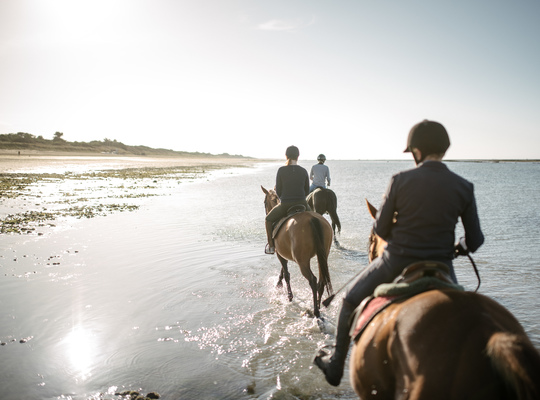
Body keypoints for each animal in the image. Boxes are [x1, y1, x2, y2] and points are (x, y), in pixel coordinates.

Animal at [262, 185, 334, 318]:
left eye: (265, 202)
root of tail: (312, 219)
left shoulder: (280, 254)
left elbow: (286, 273)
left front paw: (289, 295)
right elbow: (283, 270)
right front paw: (279, 283)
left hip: (303, 261)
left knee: (313, 280)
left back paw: (316, 311)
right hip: (323, 255)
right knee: (321, 281)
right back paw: (318, 305)